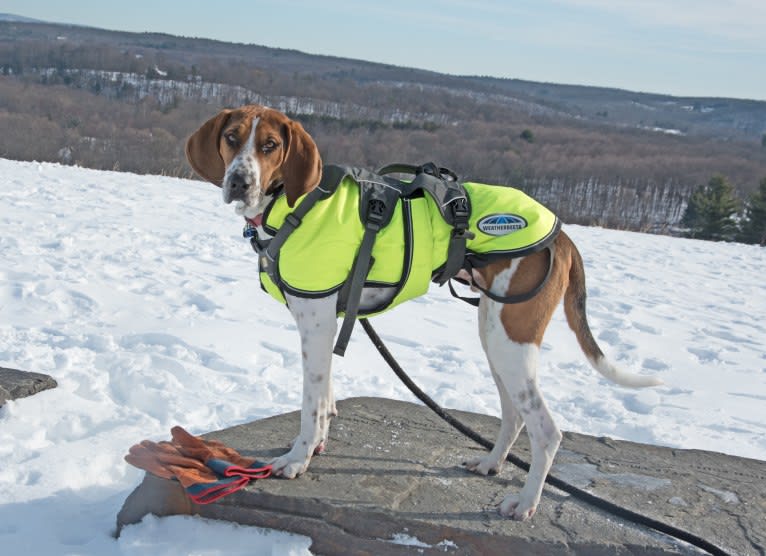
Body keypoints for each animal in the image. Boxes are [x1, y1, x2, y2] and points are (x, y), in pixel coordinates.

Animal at [183, 105, 664, 520]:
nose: (239, 181)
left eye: (269, 145)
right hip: (494, 335)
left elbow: (311, 406)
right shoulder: (326, 325)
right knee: (513, 415)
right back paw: (491, 463)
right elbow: (325, 400)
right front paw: (317, 446)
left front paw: (297, 459)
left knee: (547, 430)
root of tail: (561, 234)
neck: (295, 204)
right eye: (231, 138)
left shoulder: (316, 325)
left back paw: (525, 505)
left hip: (513, 340)